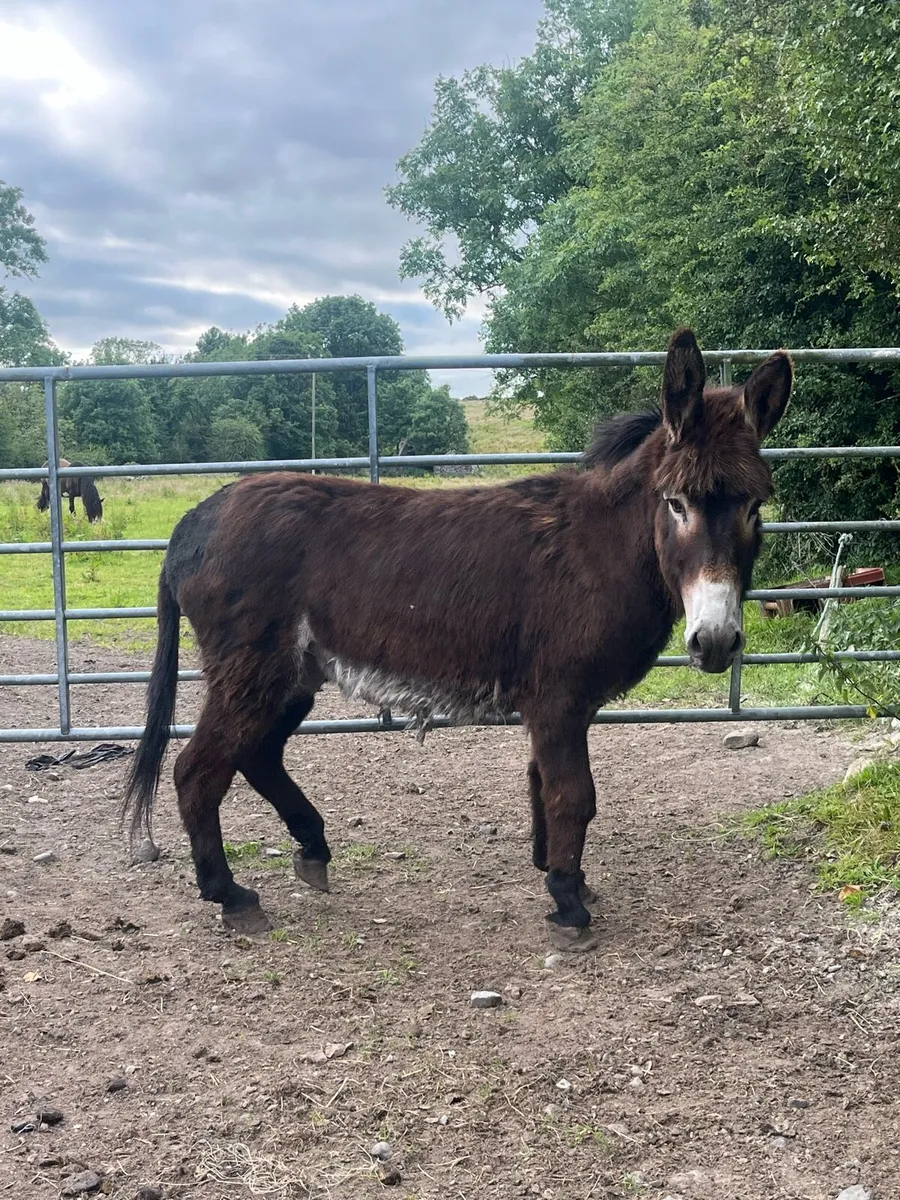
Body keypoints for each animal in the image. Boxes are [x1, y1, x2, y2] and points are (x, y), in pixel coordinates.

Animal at [124, 329, 792, 949]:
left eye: (755, 507)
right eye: (676, 504)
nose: (715, 643)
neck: (604, 550)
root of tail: (195, 519)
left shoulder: (558, 704)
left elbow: (541, 784)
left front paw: (559, 874)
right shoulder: (558, 698)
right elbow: (573, 795)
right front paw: (569, 905)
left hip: (294, 674)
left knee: (258, 754)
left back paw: (311, 849)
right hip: (253, 671)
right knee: (197, 768)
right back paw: (230, 894)